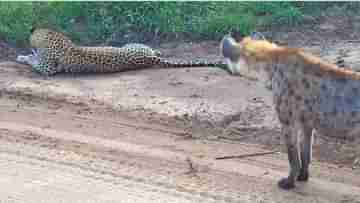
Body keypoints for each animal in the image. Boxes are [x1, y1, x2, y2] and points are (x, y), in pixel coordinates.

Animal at [221, 33, 360, 190]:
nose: (224, 67)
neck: (270, 67)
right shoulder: (306, 122)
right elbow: (306, 152)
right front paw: (303, 176)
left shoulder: (288, 121)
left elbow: (292, 155)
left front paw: (288, 182)